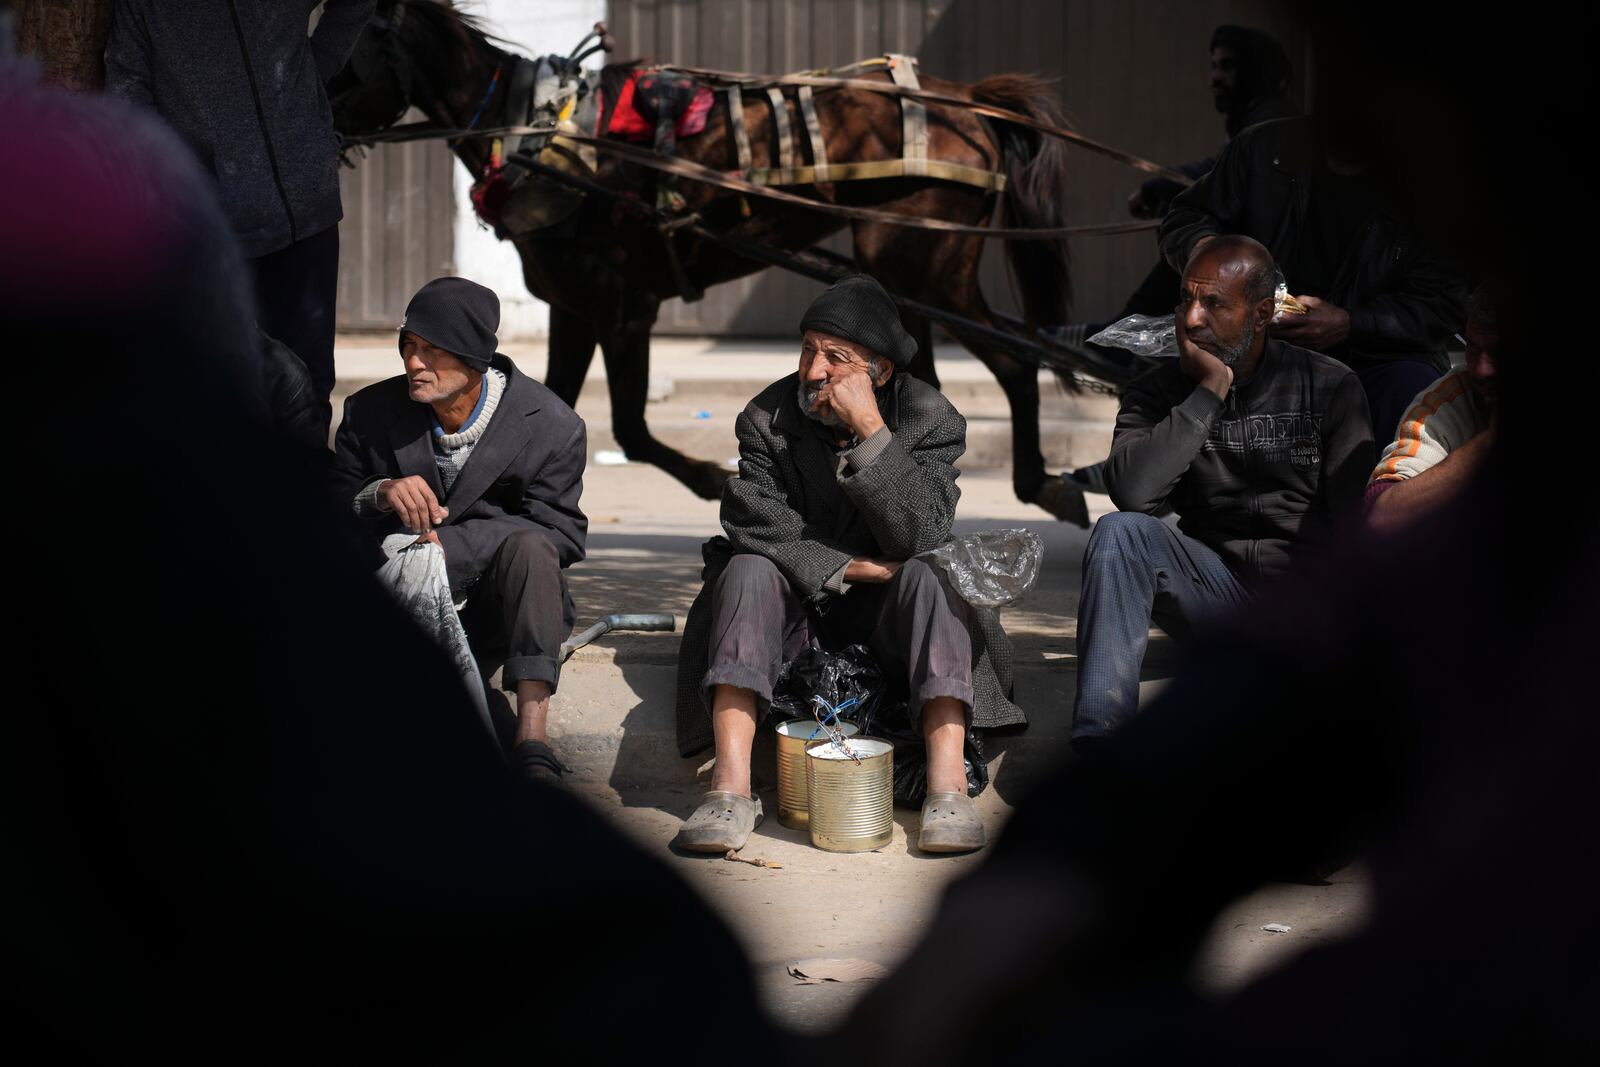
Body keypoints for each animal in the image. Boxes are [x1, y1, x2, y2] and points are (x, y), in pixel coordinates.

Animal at [331, 0, 1081, 518]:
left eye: (351, 49)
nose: (318, 131)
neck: (542, 134)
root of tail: (972, 106)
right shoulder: (574, 308)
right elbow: (557, 406)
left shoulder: (624, 308)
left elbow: (630, 427)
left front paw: (712, 476)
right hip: (908, 285)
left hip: (928, 270)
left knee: (1018, 364)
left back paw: (1041, 484)